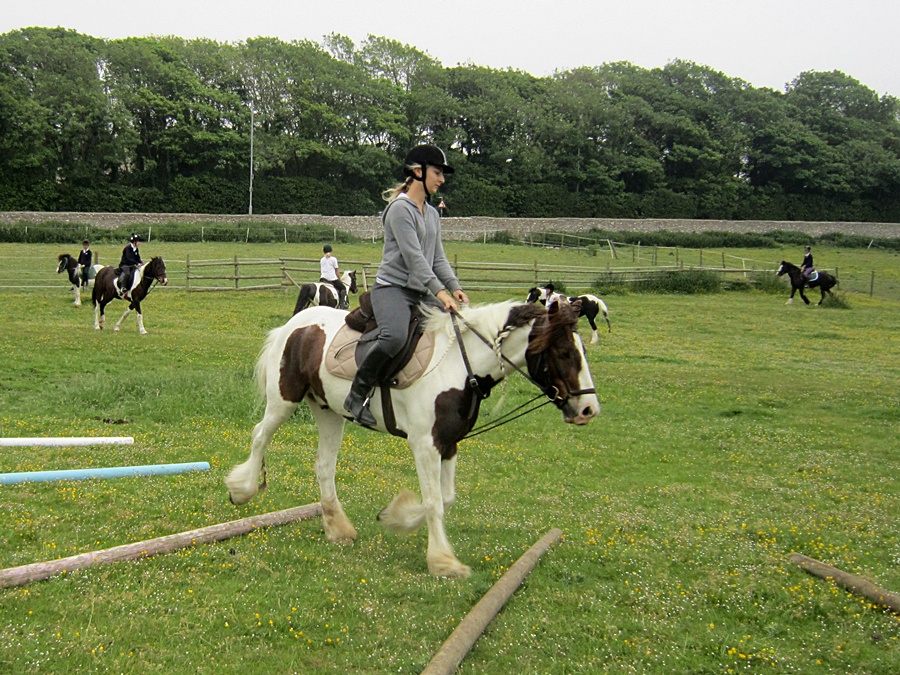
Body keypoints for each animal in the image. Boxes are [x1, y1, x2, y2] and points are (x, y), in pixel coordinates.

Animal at [225, 300, 600, 578]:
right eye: (565, 353)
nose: (588, 409)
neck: (459, 367)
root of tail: (294, 324)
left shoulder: (448, 444)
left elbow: (445, 498)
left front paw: (395, 517)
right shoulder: (425, 444)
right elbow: (434, 501)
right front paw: (443, 561)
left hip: (328, 411)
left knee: (324, 465)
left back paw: (338, 527)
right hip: (284, 400)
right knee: (259, 436)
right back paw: (242, 490)